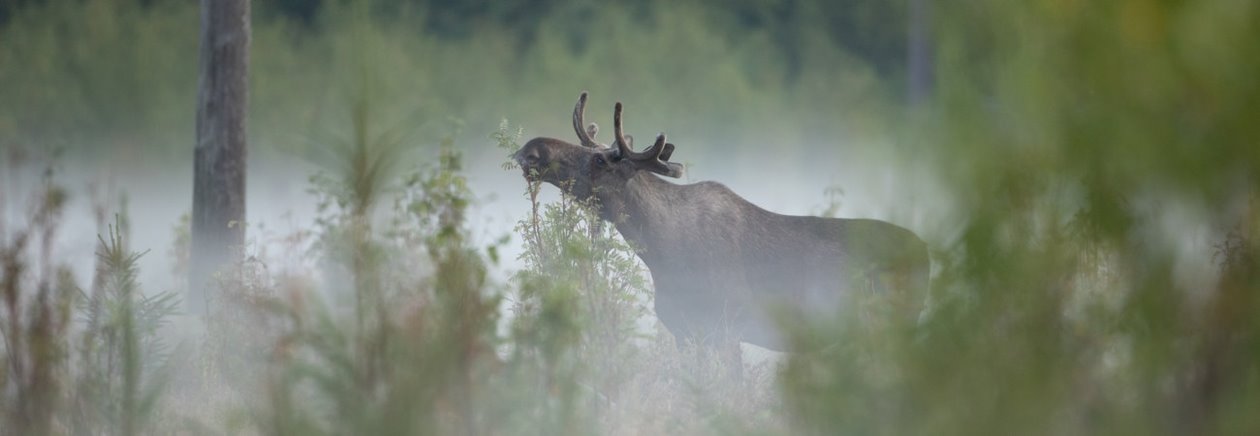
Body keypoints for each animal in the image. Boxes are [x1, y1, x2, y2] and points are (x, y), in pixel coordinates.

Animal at [511, 92, 927, 350]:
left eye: (598, 160)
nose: (530, 150)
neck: (661, 250)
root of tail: (927, 254)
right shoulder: (684, 331)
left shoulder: (727, 329)